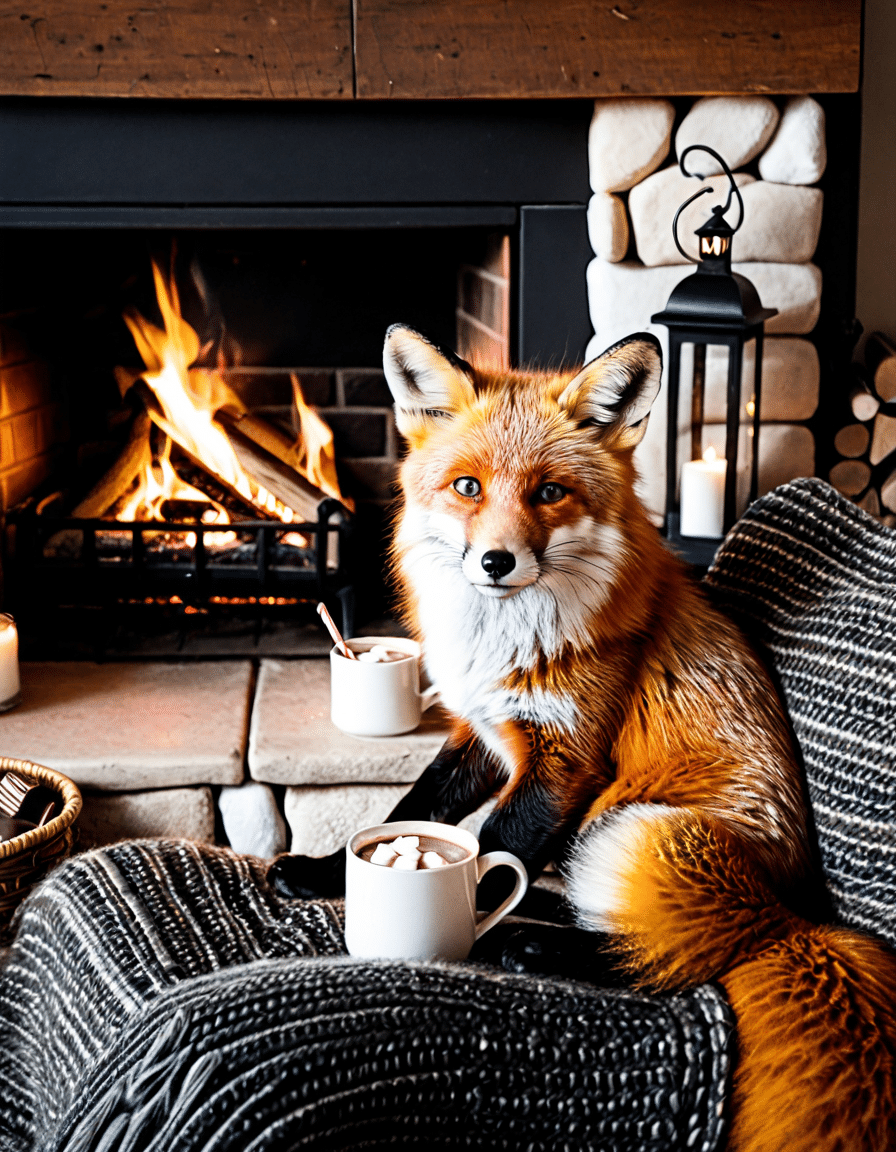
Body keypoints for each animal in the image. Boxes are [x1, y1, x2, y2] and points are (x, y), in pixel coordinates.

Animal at [271, 325, 896, 1151]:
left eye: (549, 493)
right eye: (468, 487)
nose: (496, 562)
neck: (506, 641)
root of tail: (800, 918)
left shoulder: (565, 760)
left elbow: (492, 850)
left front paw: (462, 929)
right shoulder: (480, 734)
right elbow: (415, 809)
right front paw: (324, 873)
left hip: (635, 827)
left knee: (681, 956)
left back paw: (533, 946)